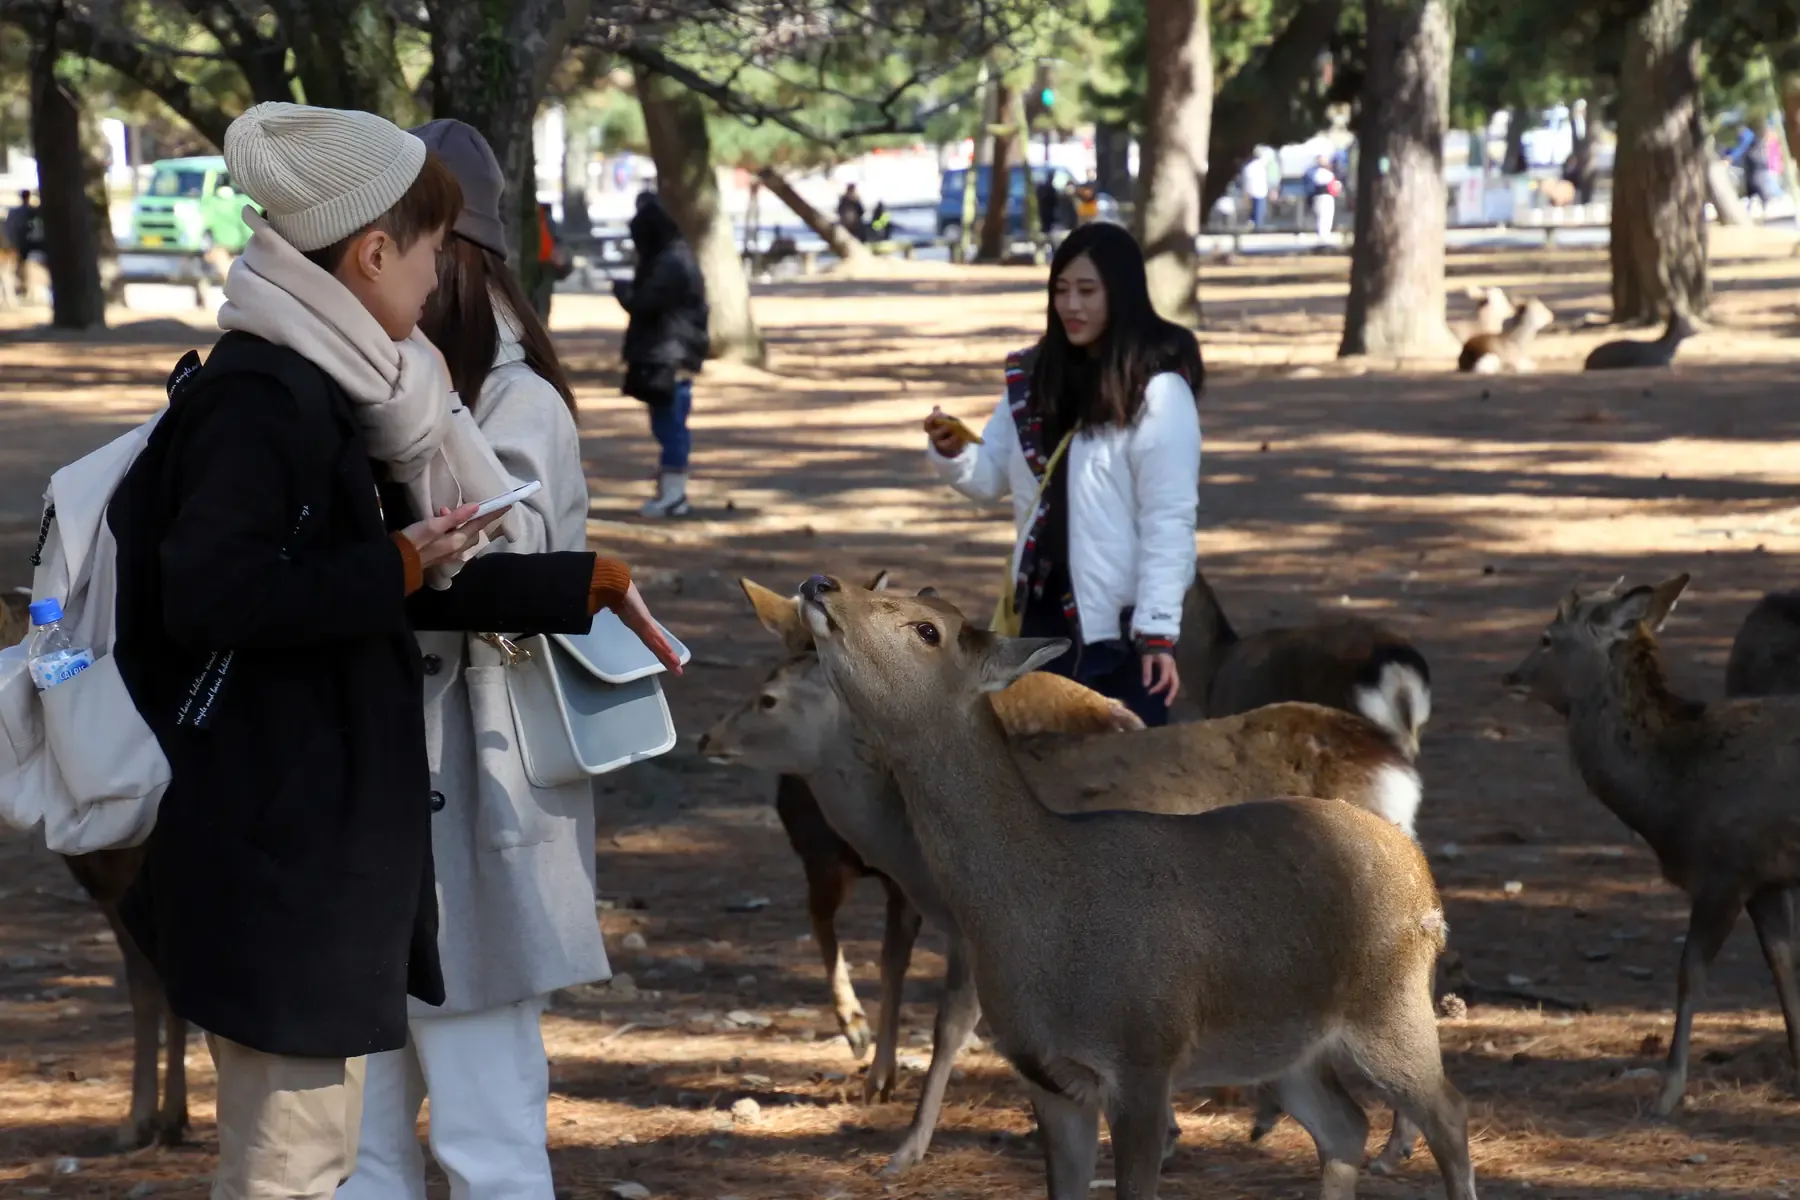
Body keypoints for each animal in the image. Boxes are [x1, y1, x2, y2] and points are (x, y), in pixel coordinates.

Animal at [1503, 574, 1800, 1115]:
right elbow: (1783, 965)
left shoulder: (1723, 871)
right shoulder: (1765, 876)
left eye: (1546, 638)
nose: (1510, 675)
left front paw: (1668, 1091)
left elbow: (1690, 973)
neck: (1671, 796)